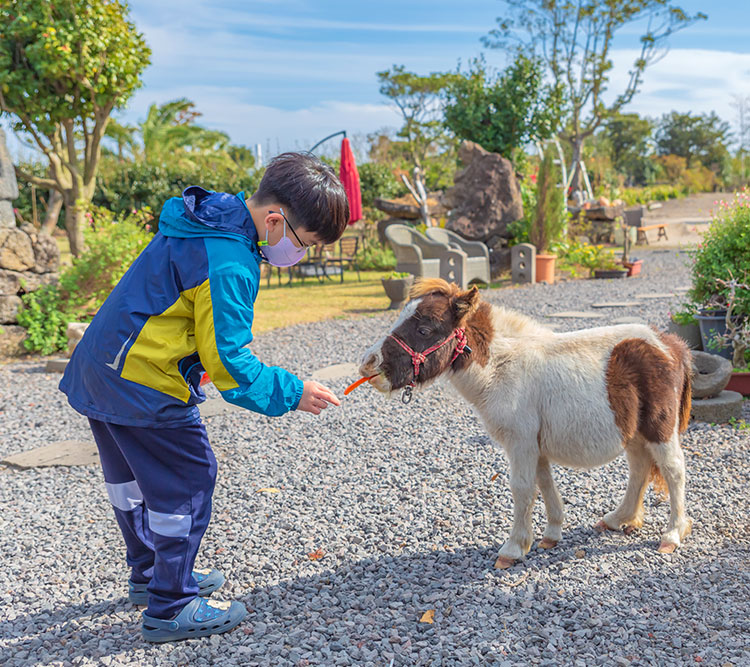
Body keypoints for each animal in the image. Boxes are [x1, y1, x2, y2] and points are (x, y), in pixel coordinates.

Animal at [362, 280, 696, 568]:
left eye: (424, 328)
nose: (369, 363)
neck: (501, 367)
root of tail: (671, 344)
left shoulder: (520, 442)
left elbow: (522, 488)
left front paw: (513, 549)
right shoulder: (536, 445)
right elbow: (544, 483)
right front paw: (550, 536)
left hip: (660, 428)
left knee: (674, 470)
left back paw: (672, 534)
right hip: (636, 433)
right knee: (640, 468)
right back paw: (619, 519)